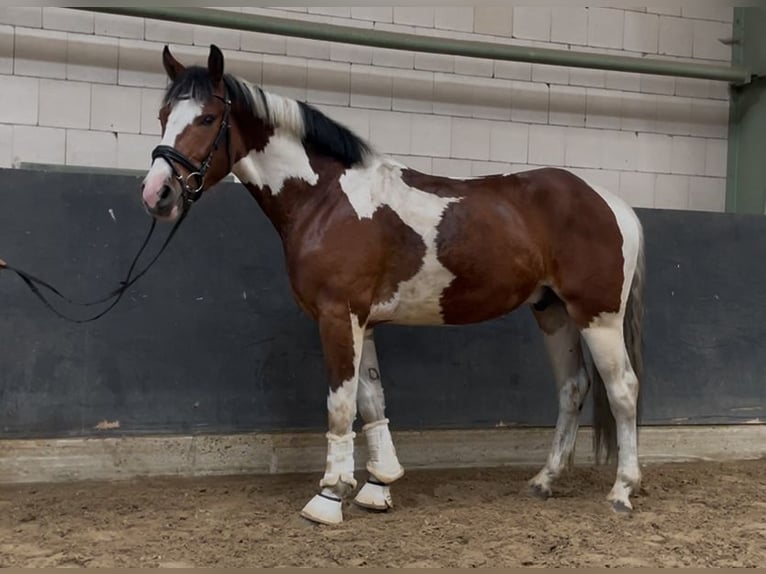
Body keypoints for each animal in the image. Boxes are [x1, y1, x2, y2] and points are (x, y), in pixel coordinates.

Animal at [141, 44, 645, 525]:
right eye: (164, 116)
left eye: (207, 118)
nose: (157, 194)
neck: (328, 199)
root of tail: (613, 204)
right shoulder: (361, 321)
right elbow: (371, 399)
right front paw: (378, 485)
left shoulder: (337, 315)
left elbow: (341, 404)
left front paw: (329, 496)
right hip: (553, 312)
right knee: (573, 388)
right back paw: (544, 480)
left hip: (597, 316)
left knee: (623, 390)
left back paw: (622, 490)